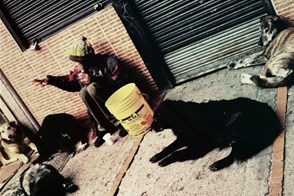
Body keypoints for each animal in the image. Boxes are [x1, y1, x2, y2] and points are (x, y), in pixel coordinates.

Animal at [150, 98, 282, 172]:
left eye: (156, 118)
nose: (150, 129)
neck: (181, 116)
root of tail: (274, 118)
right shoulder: (183, 139)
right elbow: (168, 148)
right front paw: (156, 156)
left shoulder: (199, 146)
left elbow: (176, 153)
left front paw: (164, 161)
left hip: (238, 128)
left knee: (234, 155)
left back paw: (217, 164)